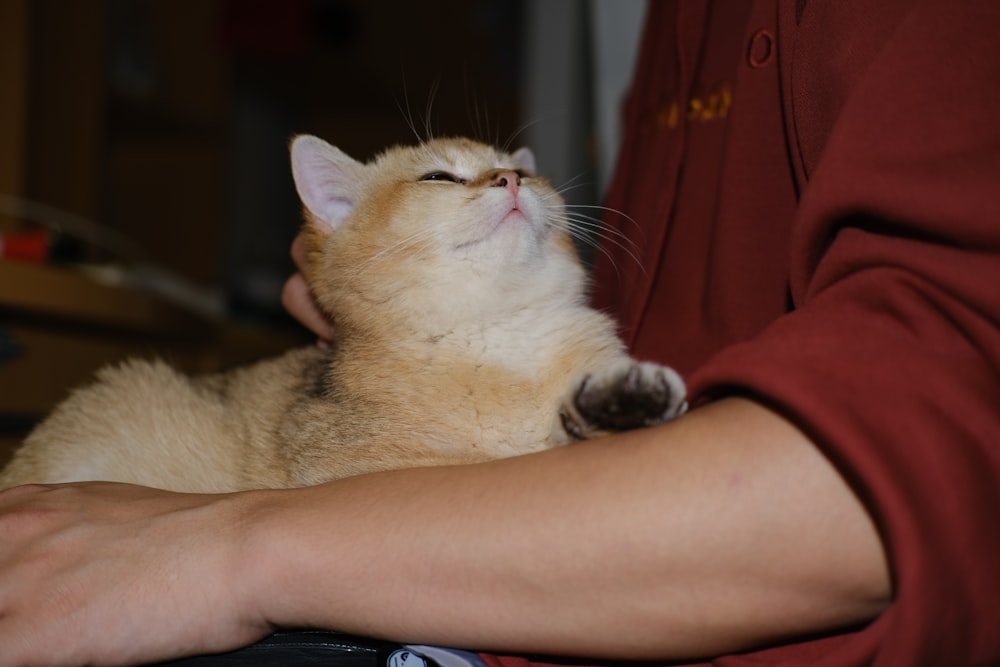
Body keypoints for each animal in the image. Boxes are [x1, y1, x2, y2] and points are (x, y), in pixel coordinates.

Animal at [0, 136, 688, 494]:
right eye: (440, 177)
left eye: (520, 169)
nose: (511, 182)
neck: (496, 336)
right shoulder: (360, 471)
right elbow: (505, 457)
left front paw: (621, 402)